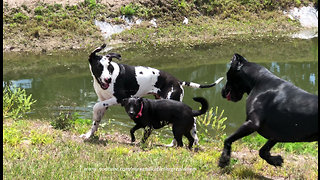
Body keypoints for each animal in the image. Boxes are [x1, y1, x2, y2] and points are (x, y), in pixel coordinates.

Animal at [81, 44, 224, 147]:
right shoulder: (105, 103)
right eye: (100, 67)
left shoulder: (119, 98)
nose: (108, 79)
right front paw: (89, 135)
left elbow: (96, 106)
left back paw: (183, 142)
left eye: (109, 67)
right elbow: (96, 122)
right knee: (191, 124)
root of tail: (177, 81)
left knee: (191, 123)